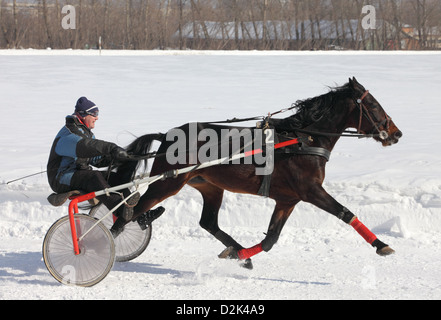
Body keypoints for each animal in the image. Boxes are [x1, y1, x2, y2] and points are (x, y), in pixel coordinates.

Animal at [117, 77, 402, 268]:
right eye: (373, 105)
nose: (396, 133)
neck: (303, 140)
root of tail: (167, 135)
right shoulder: (311, 191)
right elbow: (346, 213)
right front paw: (382, 245)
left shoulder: (288, 200)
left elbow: (270, 240)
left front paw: (239, 255)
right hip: (167, 183)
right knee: (127, 214)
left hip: (209, 185)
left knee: (208, 222)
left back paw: (237, 250)